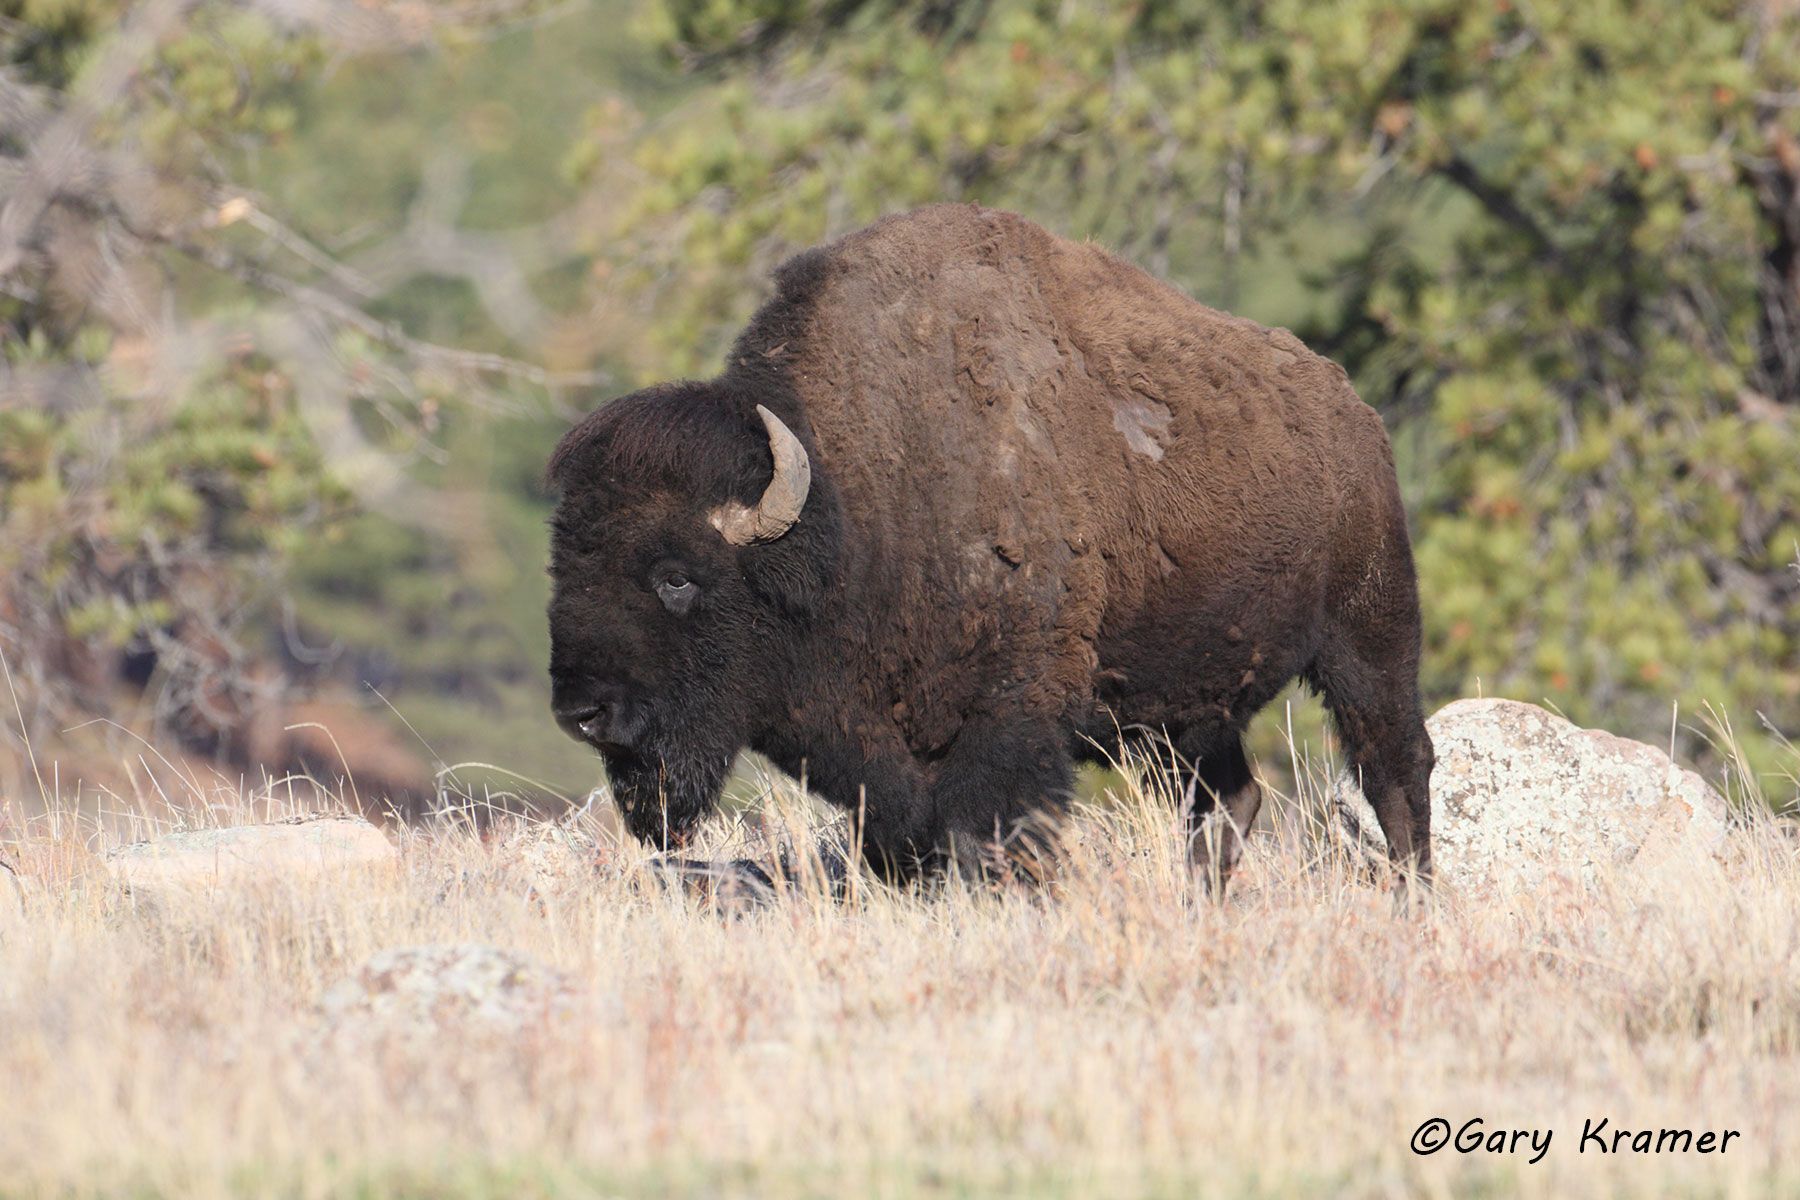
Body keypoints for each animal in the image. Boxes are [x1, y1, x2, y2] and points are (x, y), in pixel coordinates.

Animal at [547, 204, 1433, 887]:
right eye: (563, 565)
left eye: (676, 577)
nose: (580, 712)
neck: (856, 508)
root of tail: (1352, 410)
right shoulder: (888, 766)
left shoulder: (1007, 723)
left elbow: (989, 841)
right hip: (1185, 712)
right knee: (1229, 800)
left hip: (1367, 637)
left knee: (1396, 767)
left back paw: (1413, 900)